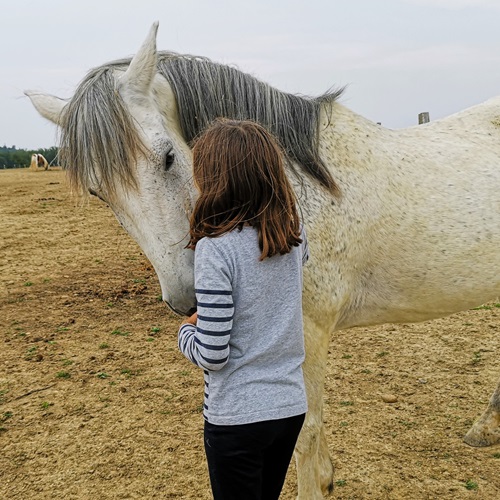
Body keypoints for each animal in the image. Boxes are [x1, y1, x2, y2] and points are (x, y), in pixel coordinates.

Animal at [26, 24, 500, 500]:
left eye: (168, 156)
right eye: (98, 192)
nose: (186, 296)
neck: (285, 191)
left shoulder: (308, 331)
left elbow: (304, 434)